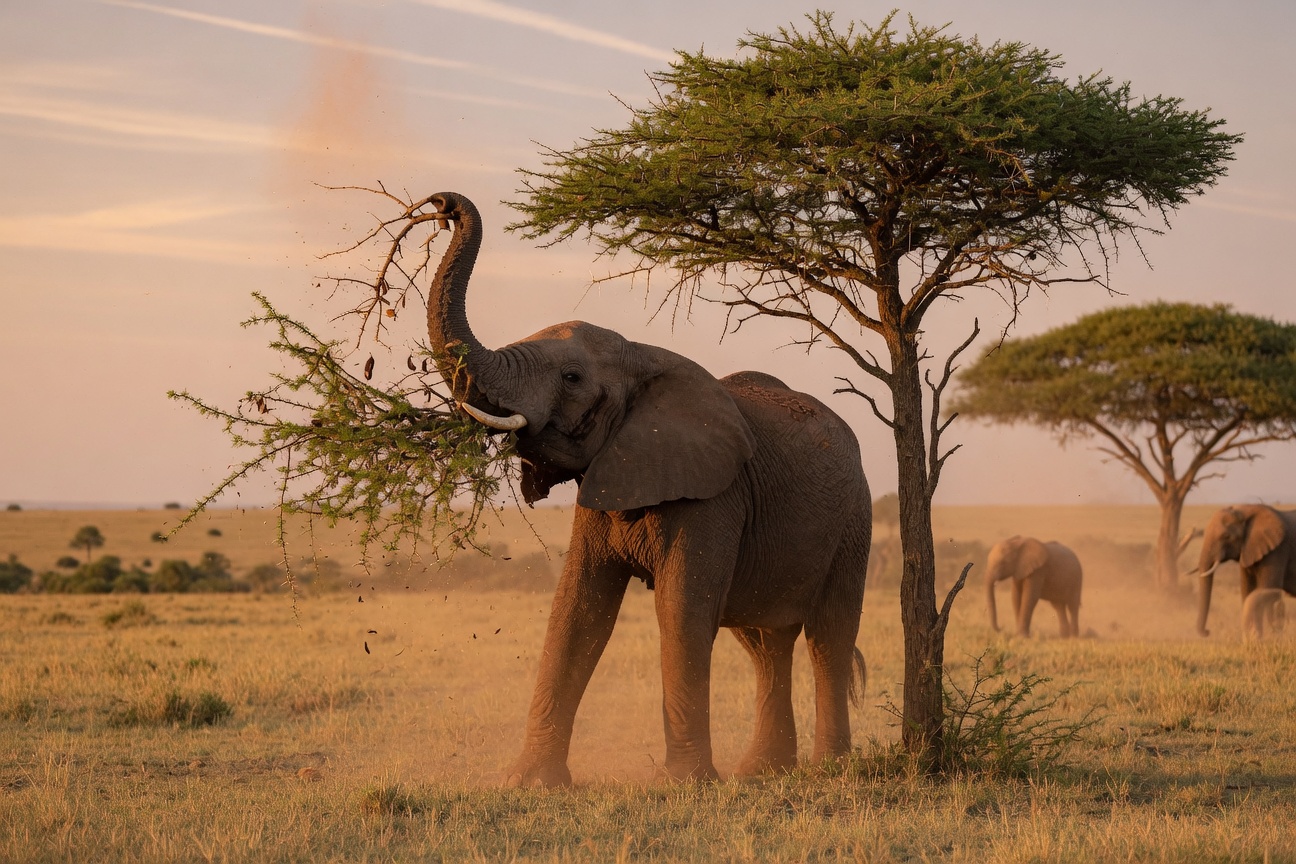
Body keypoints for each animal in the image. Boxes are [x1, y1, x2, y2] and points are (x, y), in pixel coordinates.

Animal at [423, 192, 871, 787]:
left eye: (571, 378)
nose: (442, 205)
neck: (643, 353)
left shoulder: (714, 497)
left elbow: (681, 614)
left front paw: (685, 785)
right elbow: (576, 612)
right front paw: (532, 784)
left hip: (855, 518)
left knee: (828, 637)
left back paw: (829, 769)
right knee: (765, 642)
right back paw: (763, 772)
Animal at [1195, 505, 1296, 639]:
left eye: (1226, 536)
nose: (1207, 632)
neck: (1245, 510)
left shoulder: (1278, 550)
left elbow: (1267, 589)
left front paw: (1258, 636)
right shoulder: (1247, 551)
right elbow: (1247, 590)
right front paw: (1253, 636)